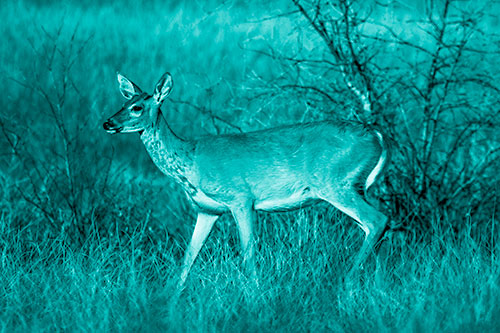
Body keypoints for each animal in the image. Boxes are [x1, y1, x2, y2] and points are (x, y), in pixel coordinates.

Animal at [102, 70, 390, 286]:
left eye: (137, 107)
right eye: (122, 103)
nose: (108, 123)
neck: (189, 161)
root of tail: (378, 137)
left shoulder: (241, 198)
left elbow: (247, 254)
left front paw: (254, 294)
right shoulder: (207, 209)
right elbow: (188, 258)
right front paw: (171, 300)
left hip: (336, 183)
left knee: (378, 220)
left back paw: (347, 282)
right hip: (353, 186)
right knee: (375, 227)